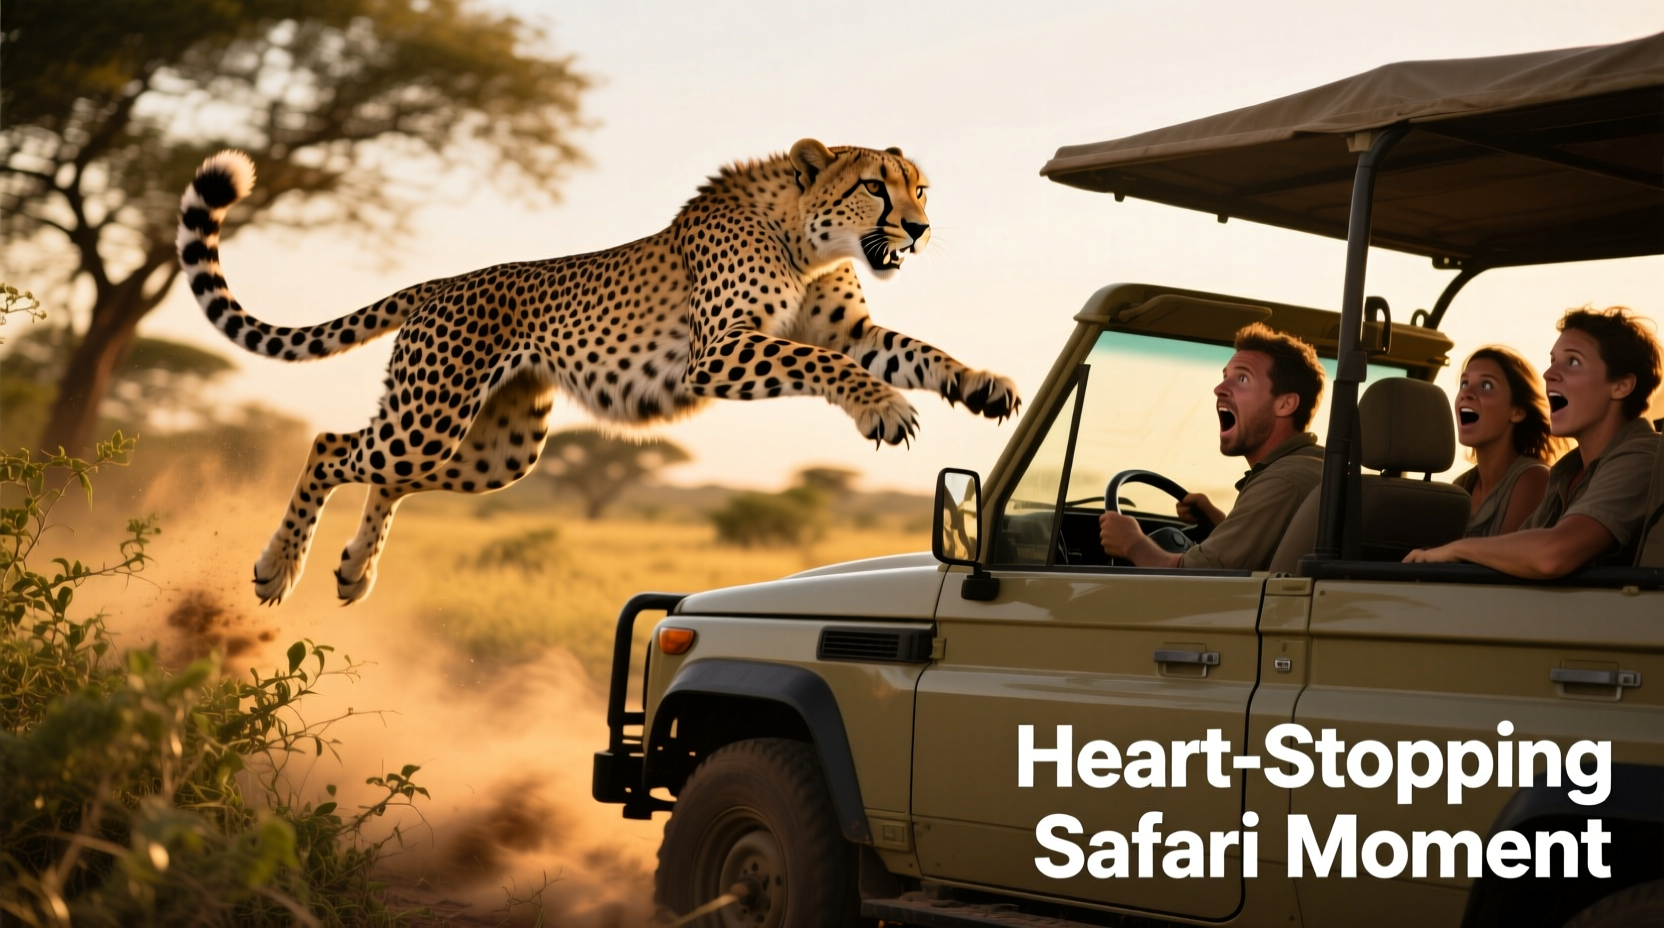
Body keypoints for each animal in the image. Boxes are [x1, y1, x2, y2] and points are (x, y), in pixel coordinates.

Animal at [176, 139, 1020, 605]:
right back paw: (277, 569)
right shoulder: (719, 350)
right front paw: (882, 409)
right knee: (330, 446)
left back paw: (354, 569)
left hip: (495, 449)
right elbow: (825, 360)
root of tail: (440, 283)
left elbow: (918, 350)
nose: (920, 227)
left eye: (920, 188)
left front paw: (981, 383)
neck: (807, 239)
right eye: (875, 185)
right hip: (432, 419)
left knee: (385, 471)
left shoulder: (853, 329)